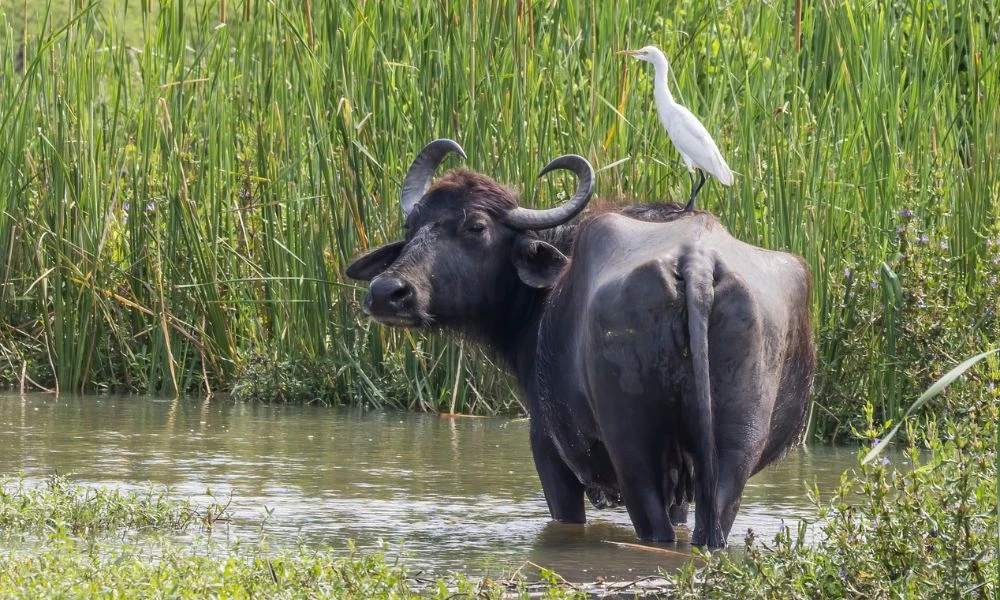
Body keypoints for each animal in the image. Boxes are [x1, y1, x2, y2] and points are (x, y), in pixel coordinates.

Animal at [346, 139, 816, 547]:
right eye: (411, 226)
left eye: (475, 226)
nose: (387, 292)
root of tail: (696, 263)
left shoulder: (547, 448)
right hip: (734, 451)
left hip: (634, 450)